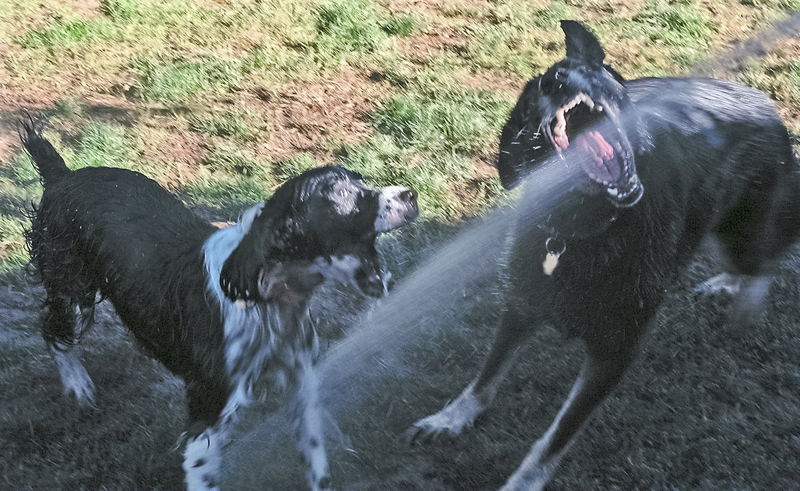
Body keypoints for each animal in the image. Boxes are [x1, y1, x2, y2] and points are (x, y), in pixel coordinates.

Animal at [18, 120, 418, 491]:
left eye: (361, 180)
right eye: (339, 194)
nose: (411, 193)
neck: (264, 298)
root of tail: (63, 175)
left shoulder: (301, 385)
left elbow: (317, 461)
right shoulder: (207, 414)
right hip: (73, 291)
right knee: (54, 332)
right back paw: (78, 386)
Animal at [412, 20, 800, 491]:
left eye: (583, 71)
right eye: (533, 98)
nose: (557, 80)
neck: (587, 224)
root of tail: (764, 103)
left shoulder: (614, 353)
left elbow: (556, 436)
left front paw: (523, 481)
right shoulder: (523, 304)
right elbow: (486, 375)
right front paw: (451, 417)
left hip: (740, 231)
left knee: (765, 261)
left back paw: (743, 300)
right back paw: (725, 283)